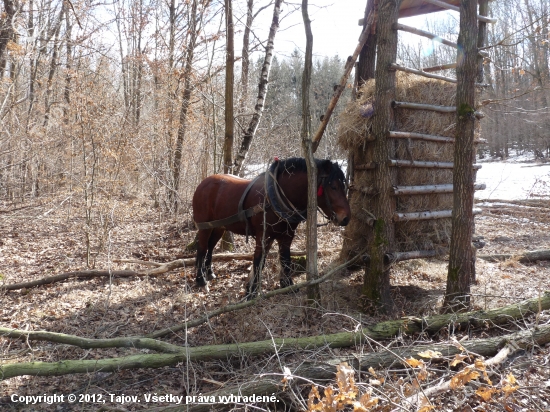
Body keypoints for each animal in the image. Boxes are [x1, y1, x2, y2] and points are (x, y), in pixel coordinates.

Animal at [192, 156, 352, 298]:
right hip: (204, 226)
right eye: (333, 186)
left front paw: (287, 285)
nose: (346, 218)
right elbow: (258, 261)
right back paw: (201, 280)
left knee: (210, 247)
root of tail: (202, 184)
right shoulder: (263, 236)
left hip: (219, 227)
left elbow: (285, 259)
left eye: (344, 185)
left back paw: (209, 272)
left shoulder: (287, 235)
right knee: (202, 248)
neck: (274, 196)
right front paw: (252, 292)